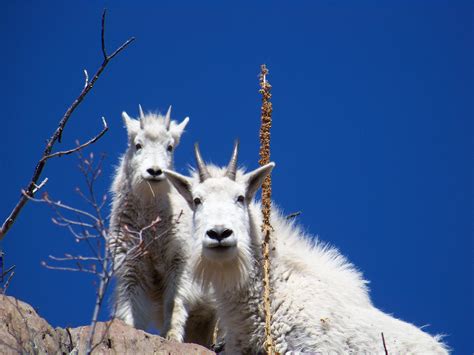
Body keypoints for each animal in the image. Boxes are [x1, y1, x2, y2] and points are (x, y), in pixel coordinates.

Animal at [108, 107, 216, 346]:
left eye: (170, 146)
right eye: (137, 145)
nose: (155, 172)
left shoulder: (180, 262)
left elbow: (174, 303)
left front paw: (172, 336)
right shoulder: (131, 263)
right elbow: (131, 304)